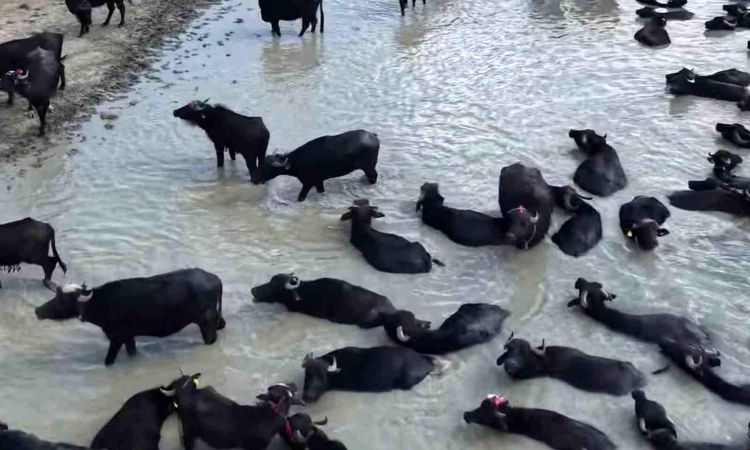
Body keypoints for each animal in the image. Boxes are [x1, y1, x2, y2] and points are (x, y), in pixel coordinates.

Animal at [35, 268, 225, 366]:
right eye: (57, 296)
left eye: (63, 300)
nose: (37, 310)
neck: (102, 303)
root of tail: (215, 278)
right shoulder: (129, 338)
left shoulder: (118, 337)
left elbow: (109, 360)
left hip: (206, 323)